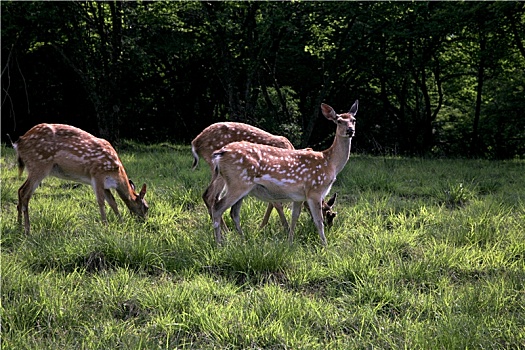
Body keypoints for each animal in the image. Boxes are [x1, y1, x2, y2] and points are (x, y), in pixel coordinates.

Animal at [12, 123, 147, 235]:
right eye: (146, 207)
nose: (144, 221)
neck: (117, 172)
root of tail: (19, 143)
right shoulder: (97, 174)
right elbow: (101, 202)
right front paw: (105, 226)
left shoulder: (105, 184)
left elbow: (113, 202)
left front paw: (121, 223)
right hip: (39, 165)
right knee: (25, 192)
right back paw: (27, 229)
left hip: (33, 168)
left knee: (19, 189)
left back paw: (18, 226)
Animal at [190, 122, 338, 232]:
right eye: (328, 214)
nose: (329, 228)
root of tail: (195, 141)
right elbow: (276, 203)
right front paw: (285, 229)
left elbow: (271, 203)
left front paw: (261, 227)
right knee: (211, 196)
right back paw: (225, 232)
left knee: (209, 196)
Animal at [209, 100, 356, 245]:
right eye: (339, 121)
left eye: (353, 120)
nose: (350, 130)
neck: (330, 163)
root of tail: (220, 153)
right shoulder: (315, 190)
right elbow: (318, 221)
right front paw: (325, 245)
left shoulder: (299, 196)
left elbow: (294, 217)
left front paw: (290, 242)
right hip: (238, 183)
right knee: (217, 208)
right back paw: (219, 244)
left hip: (242, 186)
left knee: (234, 212)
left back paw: (243, 240)